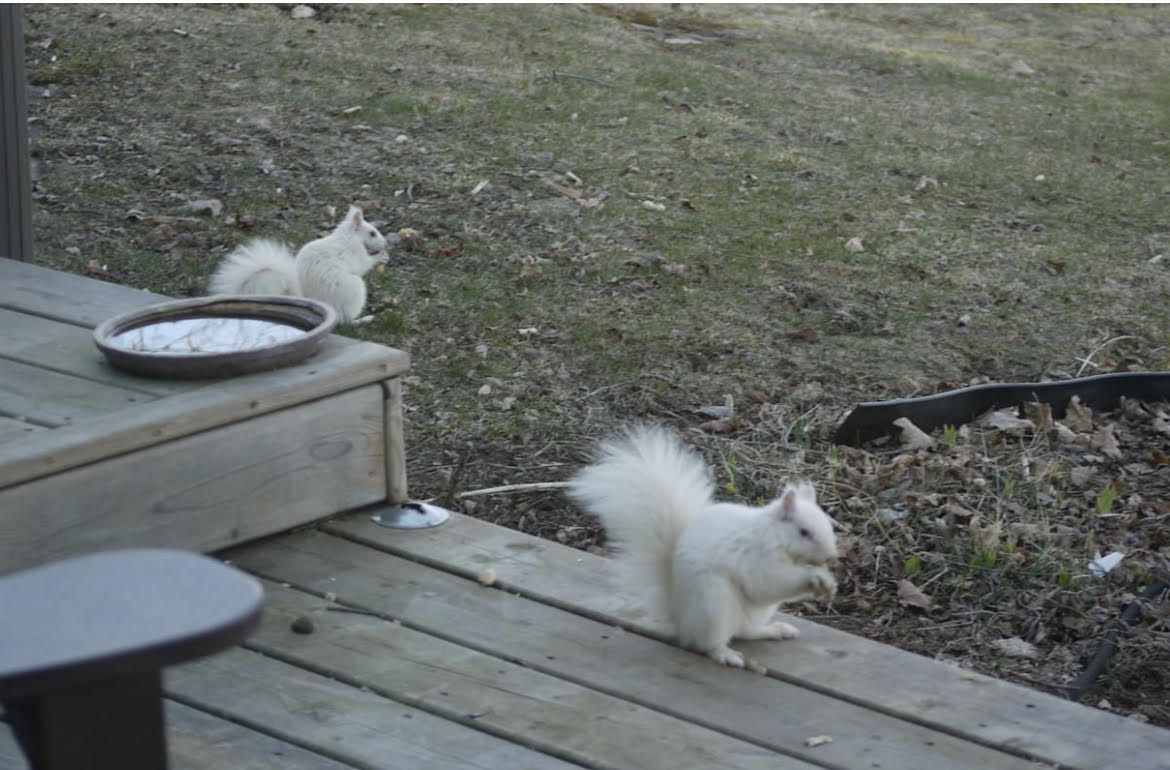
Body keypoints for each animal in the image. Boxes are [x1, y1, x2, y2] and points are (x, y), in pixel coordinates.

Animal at [208, 205, 388, 323]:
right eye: (372, 233)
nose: (385, 243)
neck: (348, 237)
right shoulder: (353, 252)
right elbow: (363, 264)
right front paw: (381, 257)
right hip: (353, 291)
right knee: (344, 320)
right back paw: (364, 319)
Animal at [568, 425, 839, 669]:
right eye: (804, 532)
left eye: (829, 525)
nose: (830, 556)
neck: (777, 539)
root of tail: (680, 618)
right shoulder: (757, 557)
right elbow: (768, 582)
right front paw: (815, 577)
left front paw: (828, 584)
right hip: (714, 605)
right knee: (709, 643)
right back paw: (726, 654)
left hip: (752, 612)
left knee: (745, 630)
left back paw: (774, 630)